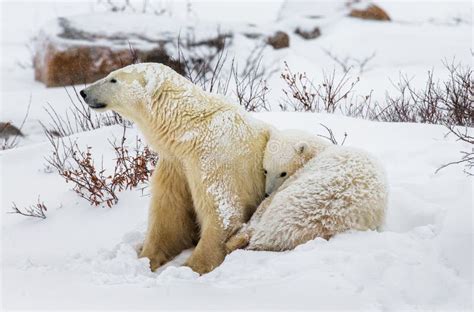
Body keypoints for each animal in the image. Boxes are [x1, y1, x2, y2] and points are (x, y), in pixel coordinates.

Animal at [79, 62, 268, 272]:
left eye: (113, 79)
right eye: (109, 75)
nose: (83, 92)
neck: (190, 127)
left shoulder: (214, 155)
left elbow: (222, 210)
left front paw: (193, 266)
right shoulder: (175, 162)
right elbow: (169, 212)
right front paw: (147, 258)